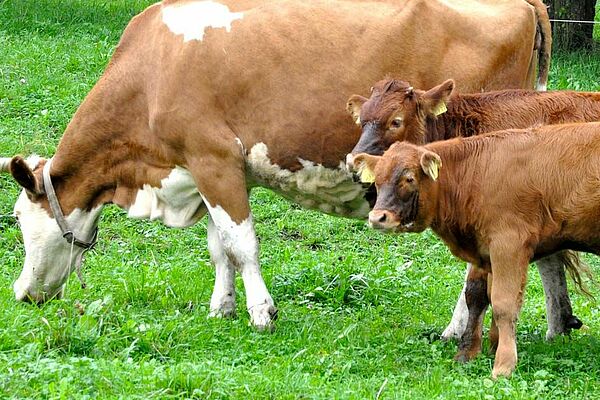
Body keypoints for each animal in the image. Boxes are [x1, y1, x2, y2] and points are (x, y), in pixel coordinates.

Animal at [1, 0, 552, 332]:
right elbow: (219, 247)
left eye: (19, 220)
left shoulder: (213, 157)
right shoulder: (206, 168)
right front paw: (221, 308)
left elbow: (242, 243)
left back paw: (457, 329)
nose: (22, 294)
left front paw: (261, 313)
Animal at [344, 77, 600, 338]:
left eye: (396, 121)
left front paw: (454, 331)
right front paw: (559, 326)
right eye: (361, 120)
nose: (353, 162)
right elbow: (550, 263)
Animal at [354, 122, 600, 378]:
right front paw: (477, 351)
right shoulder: (486, 251)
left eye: (409, 178)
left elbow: (503, 304)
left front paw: (503, 365)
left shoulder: (508, 245)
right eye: (377, 180)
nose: (377, 218)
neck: (476, 172)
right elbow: (479, 296)